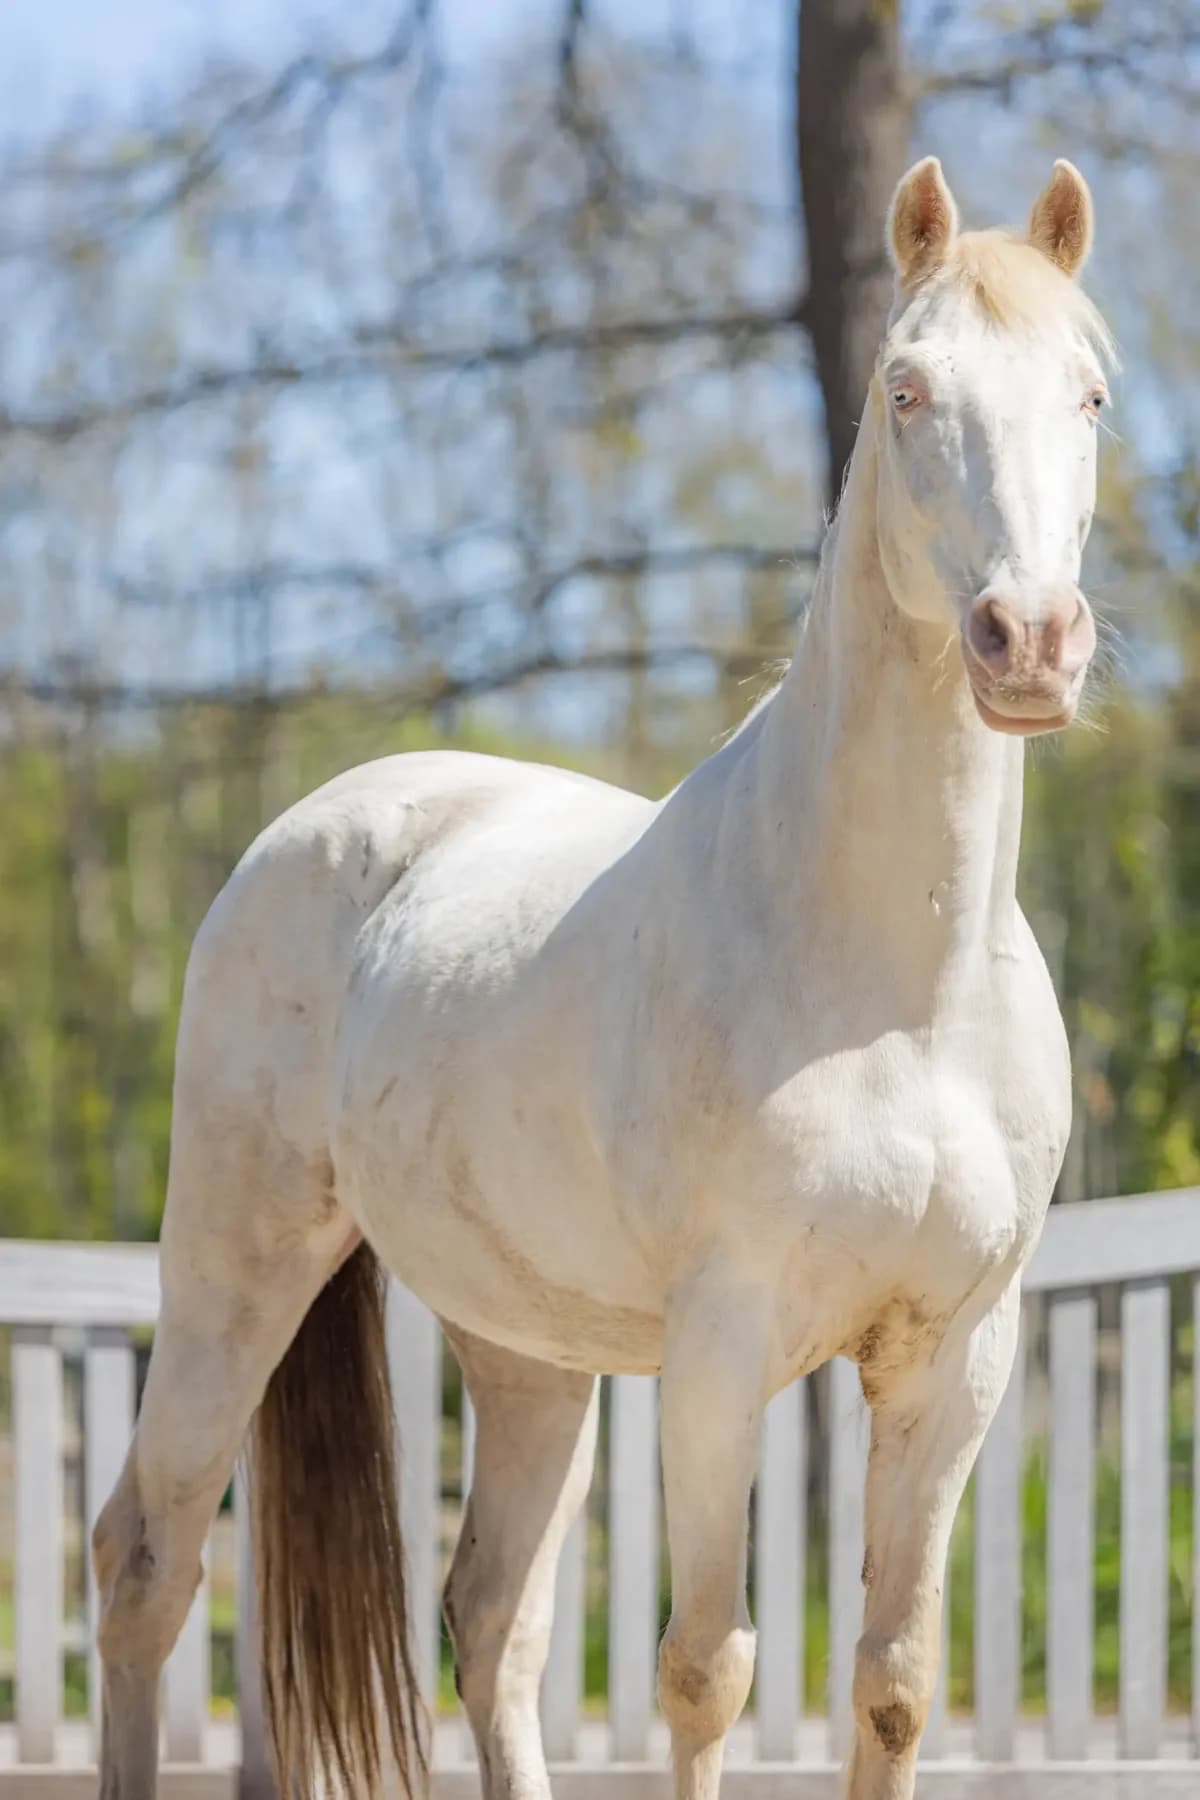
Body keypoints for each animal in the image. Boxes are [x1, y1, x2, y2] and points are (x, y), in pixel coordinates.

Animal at [94, 155, 1113, 1800]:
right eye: (906, 389)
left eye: (1088, 395)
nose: (1029, 640)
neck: (901, 988)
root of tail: (308, 832)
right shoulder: (717, 1357)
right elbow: (705, 1674)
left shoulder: (955, 1361)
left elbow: (893, 1685)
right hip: (231, 1275)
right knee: (147, 1563)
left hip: (522, 1355)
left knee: (493, 1617)